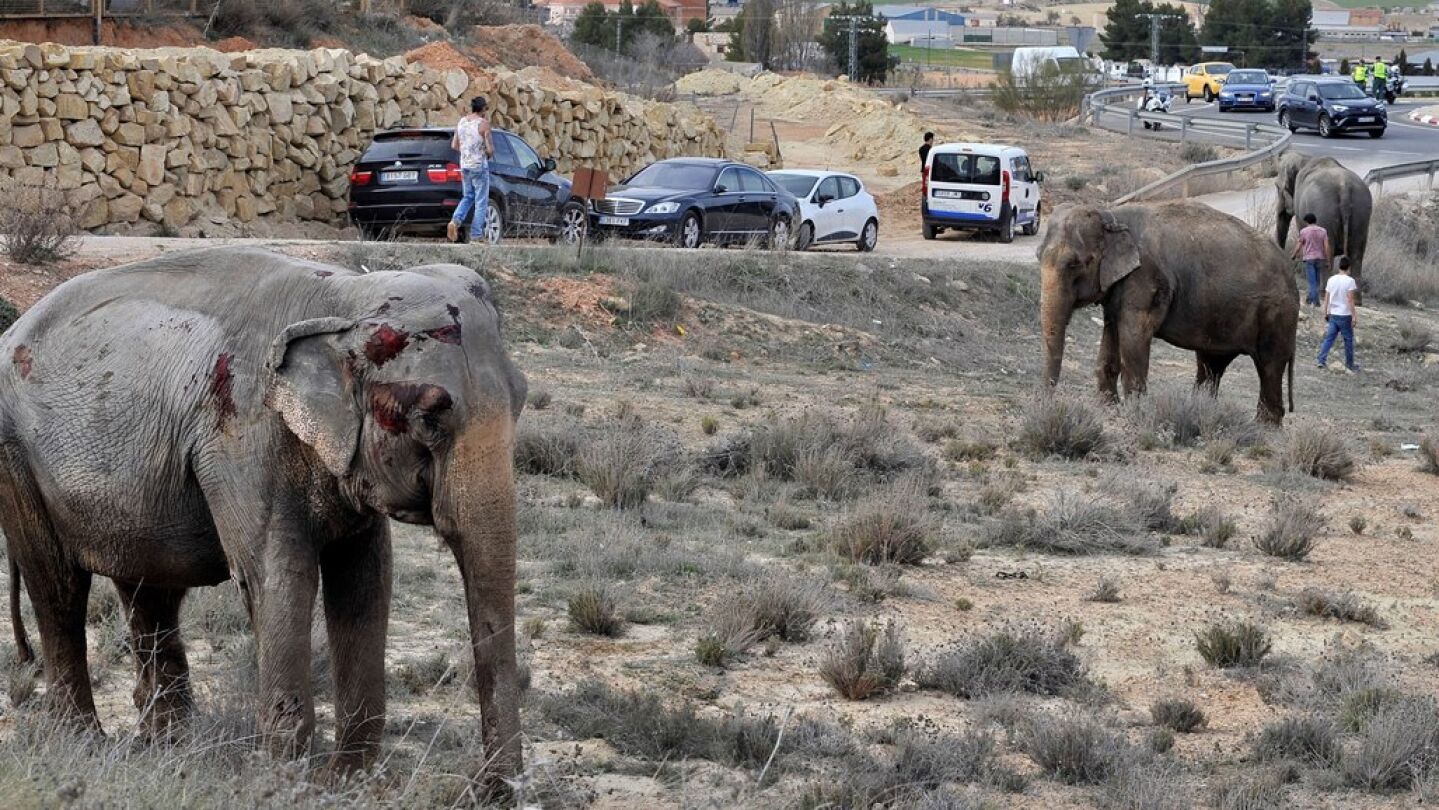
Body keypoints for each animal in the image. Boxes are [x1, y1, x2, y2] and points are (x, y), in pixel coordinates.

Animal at [0, 247, 527, 780]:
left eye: (522, 398)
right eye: (428, 418)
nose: (492, 788)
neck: (345, 299)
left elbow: (365, 580)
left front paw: (348, 781)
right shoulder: (243, 437)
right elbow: (278, 578)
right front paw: (281, 781)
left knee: (151, 592)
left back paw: (169, 747)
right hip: (16, 458)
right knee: (59, 587)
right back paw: (84, 741)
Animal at [1038, 202, 1298, 424]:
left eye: (1074, 264)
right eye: (1038, 256)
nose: (1050, 404)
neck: (1111, 215)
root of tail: (1291, 271)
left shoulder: (1145, 280)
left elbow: (1133, 336)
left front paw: (1134, 413)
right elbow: (1112, 332)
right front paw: (1108, 408)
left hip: (1277, 315)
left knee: (1269, 365)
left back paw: (1264, 427)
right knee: (1211, 364)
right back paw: (1202, 412)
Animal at [1275, 153, 1373, 304]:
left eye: (1277, 187)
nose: (1291, 257)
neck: (1304, 157)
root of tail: (1344, 187)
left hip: (1324, 211)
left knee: (1329, 249)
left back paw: (1323, 294)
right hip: (1361, 211)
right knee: (1357, 253)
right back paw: (1356, 301)